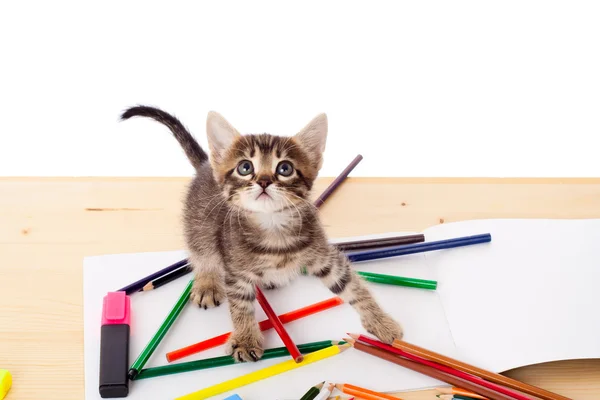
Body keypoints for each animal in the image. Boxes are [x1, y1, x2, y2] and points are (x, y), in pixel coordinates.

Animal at [120, 106, 404, 362]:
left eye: (285, 168)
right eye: (245, 167)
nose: (265, 181)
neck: (273, 227)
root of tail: (205, 164)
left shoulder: (324, 255)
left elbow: (353, 286)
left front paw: (381, 322)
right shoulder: (235, 270)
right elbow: (241, 305)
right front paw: (245, 339)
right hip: (199, 226)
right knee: (202, 255)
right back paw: (207, 283)